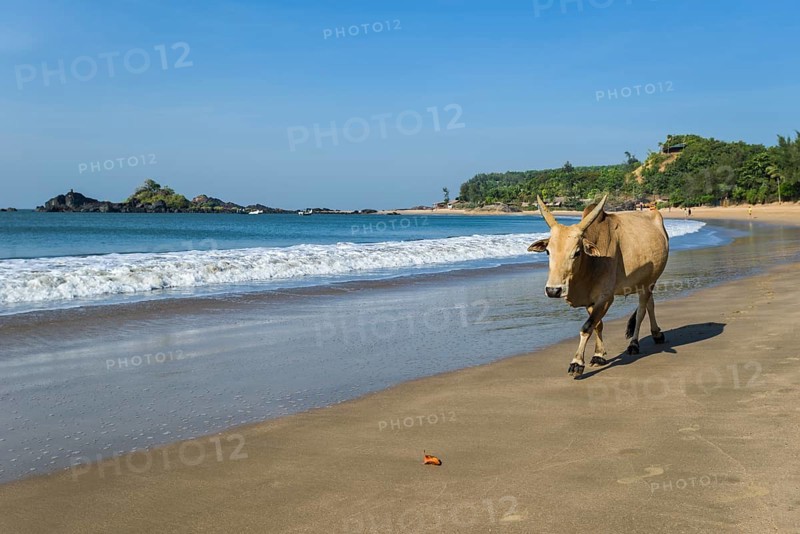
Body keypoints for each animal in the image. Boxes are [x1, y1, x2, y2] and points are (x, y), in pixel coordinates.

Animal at [527, 194, 669, 377]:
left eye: (577, 252)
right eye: (547, 251)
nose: (553, 290)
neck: (591, 264)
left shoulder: (605, 297)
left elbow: (587, 327)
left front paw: (577, 363)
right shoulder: (590, 301)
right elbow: (597, 325)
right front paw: (598, 355)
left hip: (649, 282)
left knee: (641, 311)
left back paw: (634, 344)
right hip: (644, 282)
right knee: (650, 305)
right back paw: (656, 334)